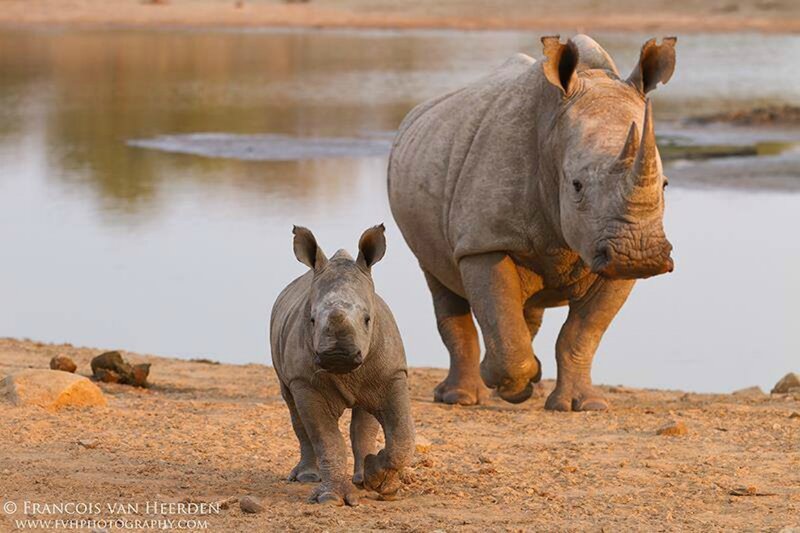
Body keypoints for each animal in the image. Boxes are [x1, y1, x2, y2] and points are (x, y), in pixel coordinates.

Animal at [270, 224, 415, 505]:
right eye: (312, 320)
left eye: (368, 319)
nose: (338, 355)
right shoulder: (305, 381)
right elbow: (327, 440)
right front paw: (331, 499)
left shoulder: (392, 373)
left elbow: (402, 436)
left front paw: (382, 485)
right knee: (293, 408)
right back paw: (307, 477)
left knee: (363, 419)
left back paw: (362, 477)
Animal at [388, 35, 676, 410]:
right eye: (576, 185)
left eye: (665, 184)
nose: (639, 255)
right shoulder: (484, 240)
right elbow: (501, 316)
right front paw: (507, 381)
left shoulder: (615, 261)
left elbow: (582, 334)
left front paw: (581, 405)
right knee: (442, 283)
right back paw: (462, 397)